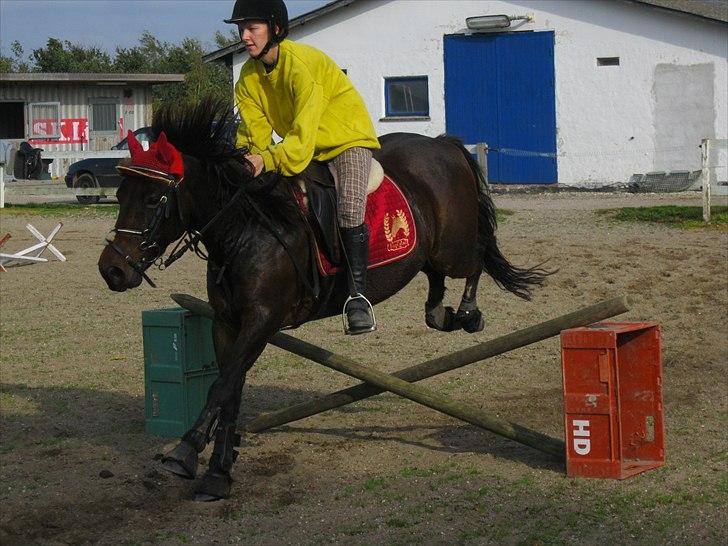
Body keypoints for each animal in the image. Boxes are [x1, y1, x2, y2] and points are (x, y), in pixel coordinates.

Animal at [98, 98, 552, 498]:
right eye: (119, 196)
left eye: (154, 199)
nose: (112, 270)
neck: (243, 229)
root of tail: (443, 145)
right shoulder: (227, 323)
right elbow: (230, 391)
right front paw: (219, 474)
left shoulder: (262, 320)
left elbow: (222, 388)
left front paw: (186, 451)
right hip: (428, 252)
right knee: (435, 283)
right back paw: (441, 313)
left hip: (451, 246)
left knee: (475, 258)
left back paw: (468, 313)